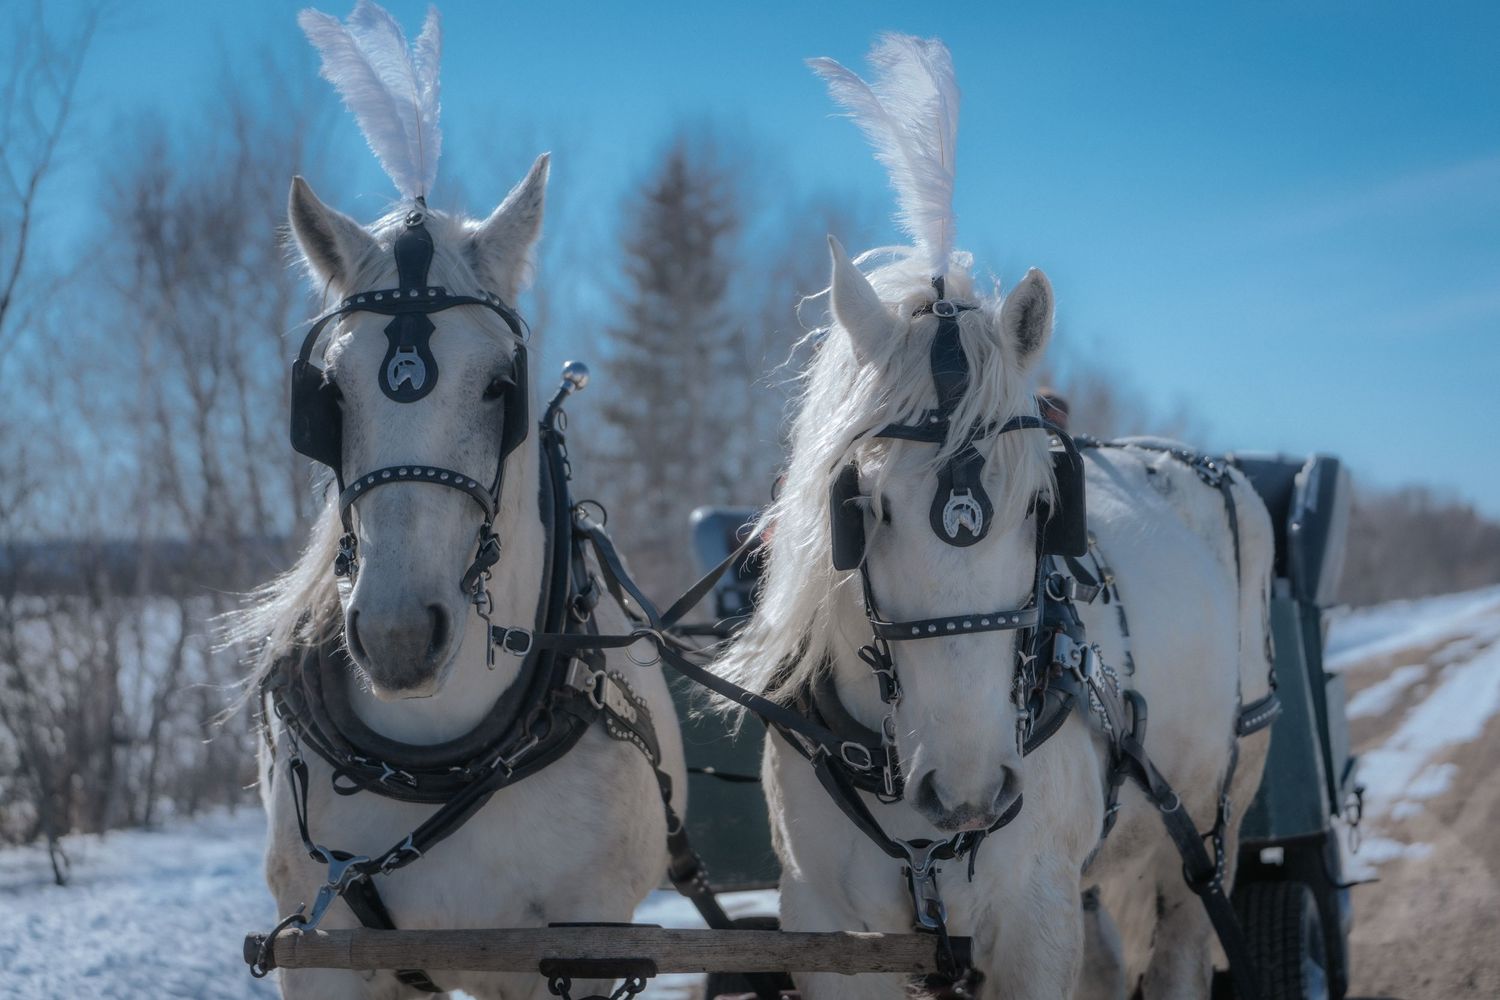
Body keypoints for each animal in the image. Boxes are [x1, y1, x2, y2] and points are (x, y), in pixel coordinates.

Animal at [713, 35, 1276, 999]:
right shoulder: (823, 927)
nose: (970, 789)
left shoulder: (1035, 916)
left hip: (1212, 825)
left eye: (1046, 506)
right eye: (863, 507)